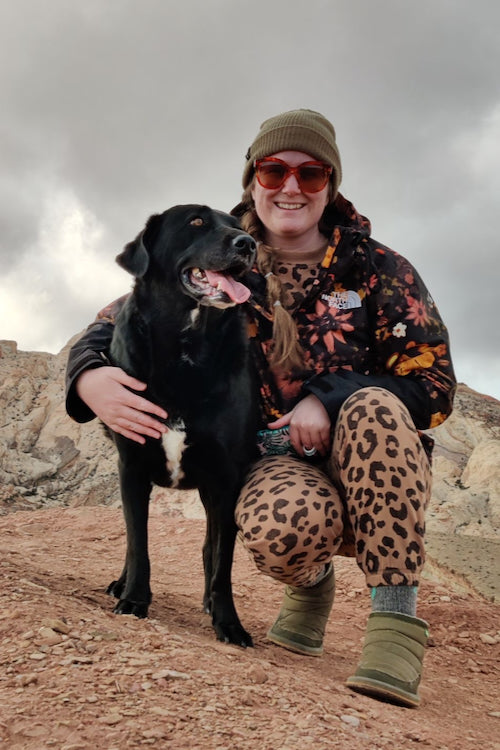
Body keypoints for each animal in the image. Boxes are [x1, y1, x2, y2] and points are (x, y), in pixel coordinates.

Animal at [105, 204, 256, 648]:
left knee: (210, 547)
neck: (186, 348)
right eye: (196, 222)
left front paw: (229, 622)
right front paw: (135, 600)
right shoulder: (132, 467)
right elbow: (138, 543)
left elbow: (222, 562)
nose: (248, 244)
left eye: (237, 226)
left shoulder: (225, 479)